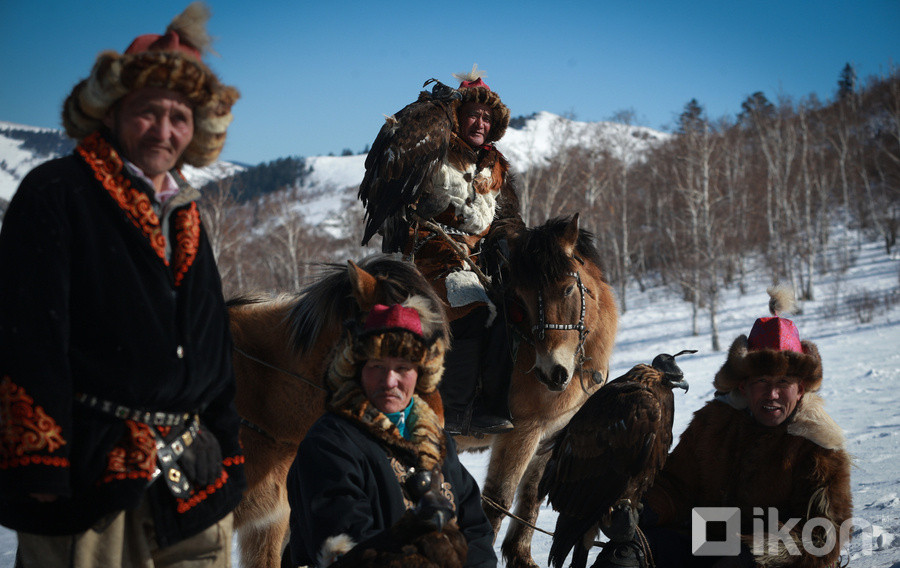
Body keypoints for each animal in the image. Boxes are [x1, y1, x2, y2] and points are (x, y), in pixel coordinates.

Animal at [457, 213, 618, 568]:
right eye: (522, 297)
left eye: (569, 288)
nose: (552, 373)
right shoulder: (521, 432)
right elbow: (497, 501)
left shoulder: (550, 435)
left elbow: (531, 497)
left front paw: (520, 555)